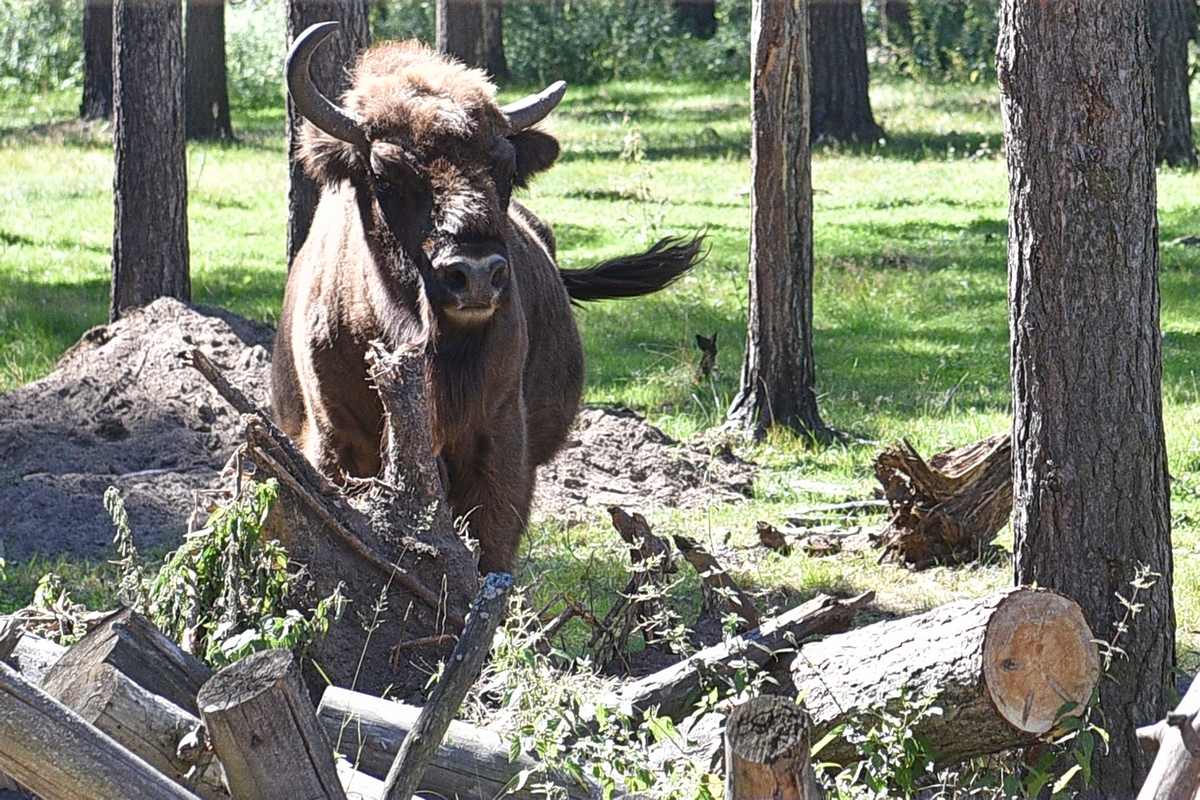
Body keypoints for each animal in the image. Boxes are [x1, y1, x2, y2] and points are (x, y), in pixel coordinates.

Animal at [274, 25, 700, 575]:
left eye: (505, 169)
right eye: (384, 173)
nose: (475, 275)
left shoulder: (496, 442)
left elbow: (491, 539)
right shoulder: (336, 440)